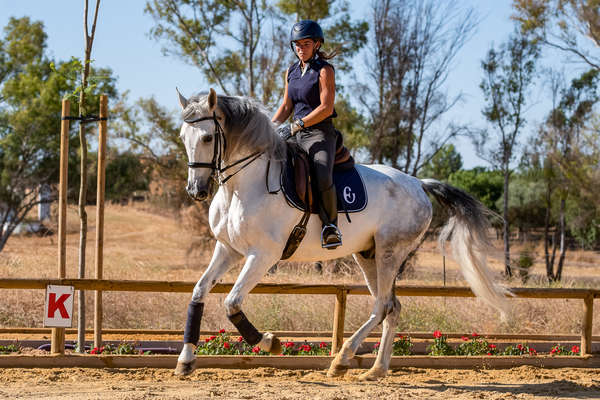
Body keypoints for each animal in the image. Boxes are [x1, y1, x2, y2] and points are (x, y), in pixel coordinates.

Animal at [175, 88, 510, 382]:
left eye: (207, 137)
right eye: (183, 137)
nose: (196, 190)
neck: (243, 185)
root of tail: (417, 183)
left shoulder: (263, 255)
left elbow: (232, 303)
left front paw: (270, 342)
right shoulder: (227, 249)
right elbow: (199, 292)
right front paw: (186, 361)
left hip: (390, 252)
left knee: (382, 305)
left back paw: (343, 358)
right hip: (368, 255)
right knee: (392, 307)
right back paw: (376, 370)